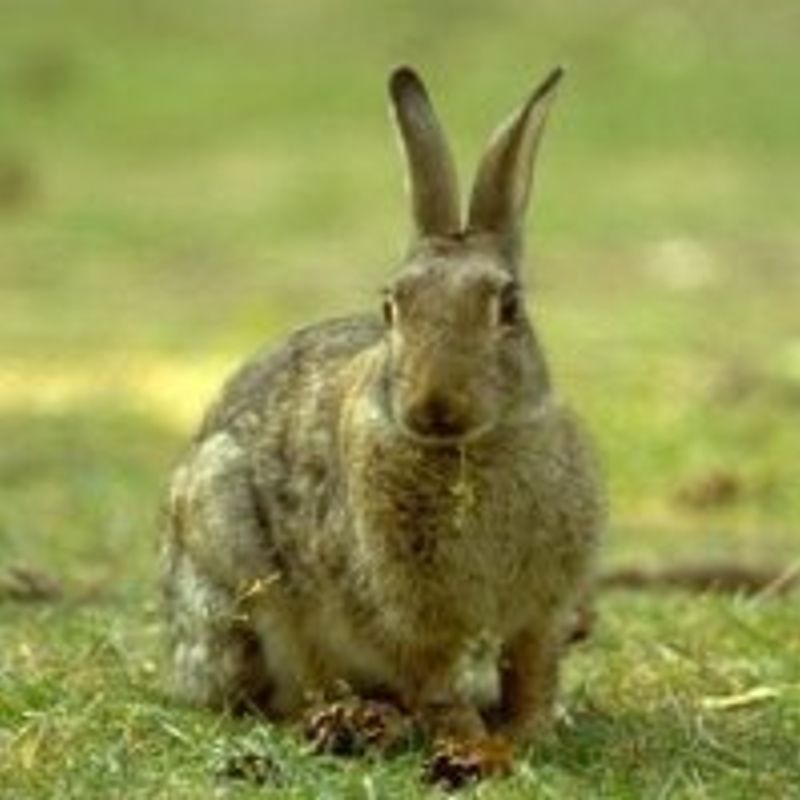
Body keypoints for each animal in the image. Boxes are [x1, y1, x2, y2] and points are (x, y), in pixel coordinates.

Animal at [161, 64, 605, 747]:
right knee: (282, 687)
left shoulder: (542, 607)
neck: (465, 452)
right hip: (239, 571)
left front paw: (526, 733)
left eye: (509, 307)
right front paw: (470, 742)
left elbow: (531, 667)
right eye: (391, 307)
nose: (435, 405)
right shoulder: (399, 610)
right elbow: (435, 680)